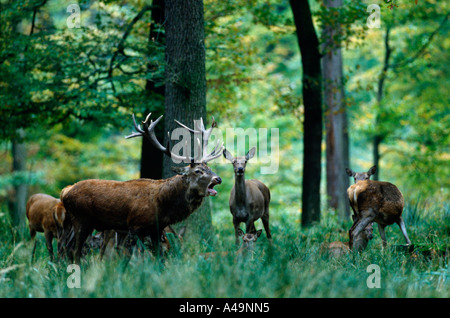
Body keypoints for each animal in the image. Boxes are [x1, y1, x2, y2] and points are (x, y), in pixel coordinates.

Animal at [62, 113, 224, 262]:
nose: (218, 178)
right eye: (198, 171)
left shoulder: (156, 229)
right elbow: (128, 256)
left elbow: (158, 256)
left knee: (68, 247)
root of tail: (65, 192)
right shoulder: (134, 225)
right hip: (81, 218)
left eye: (209, 168)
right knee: (75, 250)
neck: (162, 205)